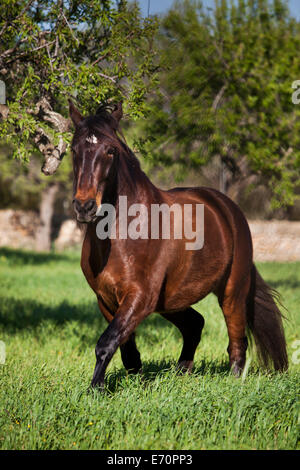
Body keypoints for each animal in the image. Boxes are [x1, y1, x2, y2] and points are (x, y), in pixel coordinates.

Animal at [68, 100, 288, 390]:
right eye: (74, 149)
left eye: (110, 150)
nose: (84, 206)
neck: (122, 232)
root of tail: (227, 208)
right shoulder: (106, 299)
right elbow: (126, 350)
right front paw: (133, 385)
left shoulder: (140, 296)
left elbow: (106, 343)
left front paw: (96, 389)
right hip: (171, 300)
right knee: (195, 324)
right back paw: (182, 372)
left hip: (232, 291)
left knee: (237, 341)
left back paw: (232, 381)